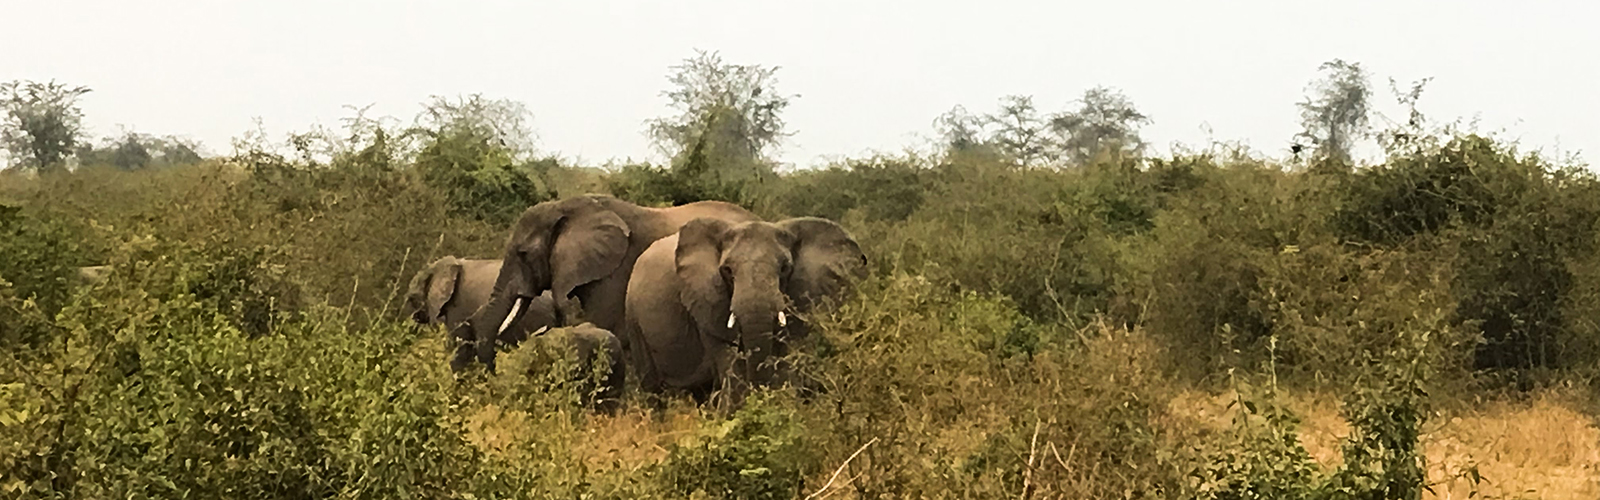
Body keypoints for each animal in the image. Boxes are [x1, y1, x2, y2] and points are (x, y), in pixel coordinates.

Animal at [622, 216, 867, 410]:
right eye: (727, 271)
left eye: (785, 268)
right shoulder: (706, 299)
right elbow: (729, 360)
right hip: (633, 317)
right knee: (652, 389)